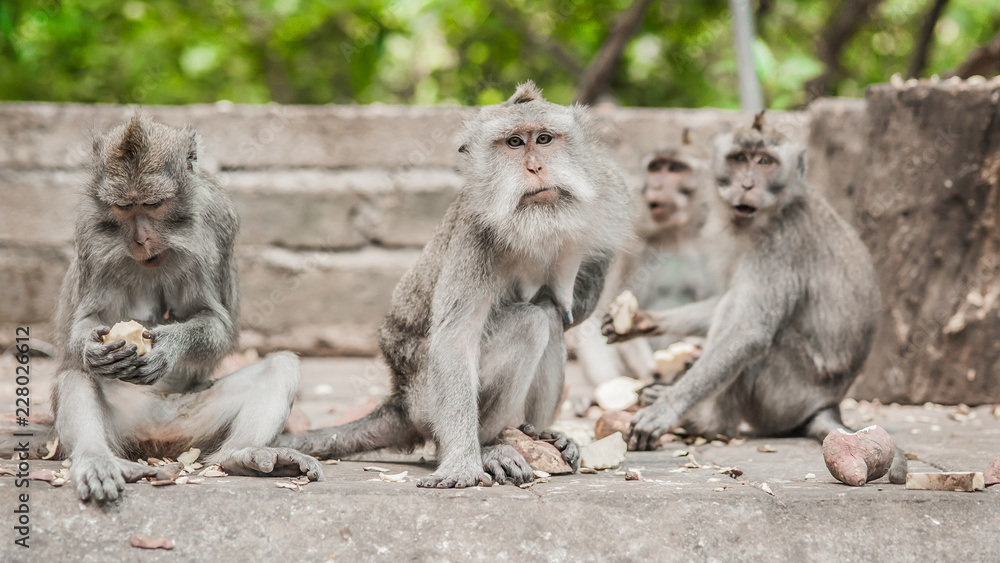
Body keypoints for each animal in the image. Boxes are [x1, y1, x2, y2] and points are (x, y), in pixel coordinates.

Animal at [38, 115, 320, 502]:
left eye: (154, 204)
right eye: (123, 207)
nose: (140, 238)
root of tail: (161, 440)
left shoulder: (215, 225)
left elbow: (214, 319)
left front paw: (169, 345)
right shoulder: (90, 233)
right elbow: (86, 320)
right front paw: (94, 349)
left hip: (194, 421)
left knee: (281, 365)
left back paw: (243, 455)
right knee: (76, 374)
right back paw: (98, 459)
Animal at [274, 83, 632, 490]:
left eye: (543, 139)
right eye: (513, 143)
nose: (535, 167)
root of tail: (401, 398)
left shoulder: (611, 187)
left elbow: (578, 297)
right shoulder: (476, 235)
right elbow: (455, 341)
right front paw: (462, 462)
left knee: (549, 316)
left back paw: (539, 434)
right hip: (427, 402)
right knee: (531, 322)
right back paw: (489, 446)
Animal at [576, 129, 716, 386]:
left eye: (676, 168)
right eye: (655, 168)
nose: (656, 184)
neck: (678, 232)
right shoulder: (631, 241)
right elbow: (606, 307)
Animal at [604, 111, 912, 484]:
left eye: (765, 162)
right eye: (739, 159)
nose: (747, 185)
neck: (776, 210)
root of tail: (827, 404)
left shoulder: (782, 243)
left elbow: (750, 332)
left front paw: (667, 408)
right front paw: (642, 321)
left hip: (783, 397)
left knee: (756, 336)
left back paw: (706, 421)